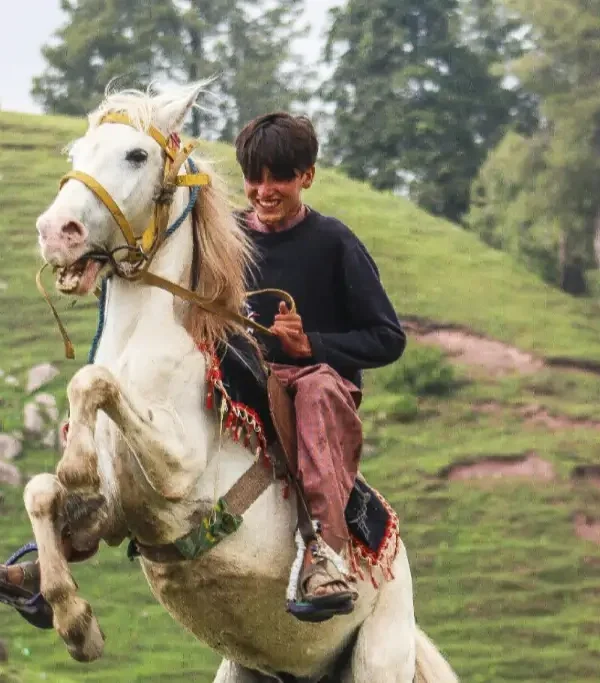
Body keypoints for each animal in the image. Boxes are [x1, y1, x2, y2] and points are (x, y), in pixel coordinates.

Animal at [26, 81, 459, 683]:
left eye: (136, 155)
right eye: (77, 153)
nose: (56, 233)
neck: (143, 347)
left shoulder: (177, 469)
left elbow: (93, 383)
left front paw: (77, 465)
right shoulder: (114, 516)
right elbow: (42, 491)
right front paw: (73, 619)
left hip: (377, 658)